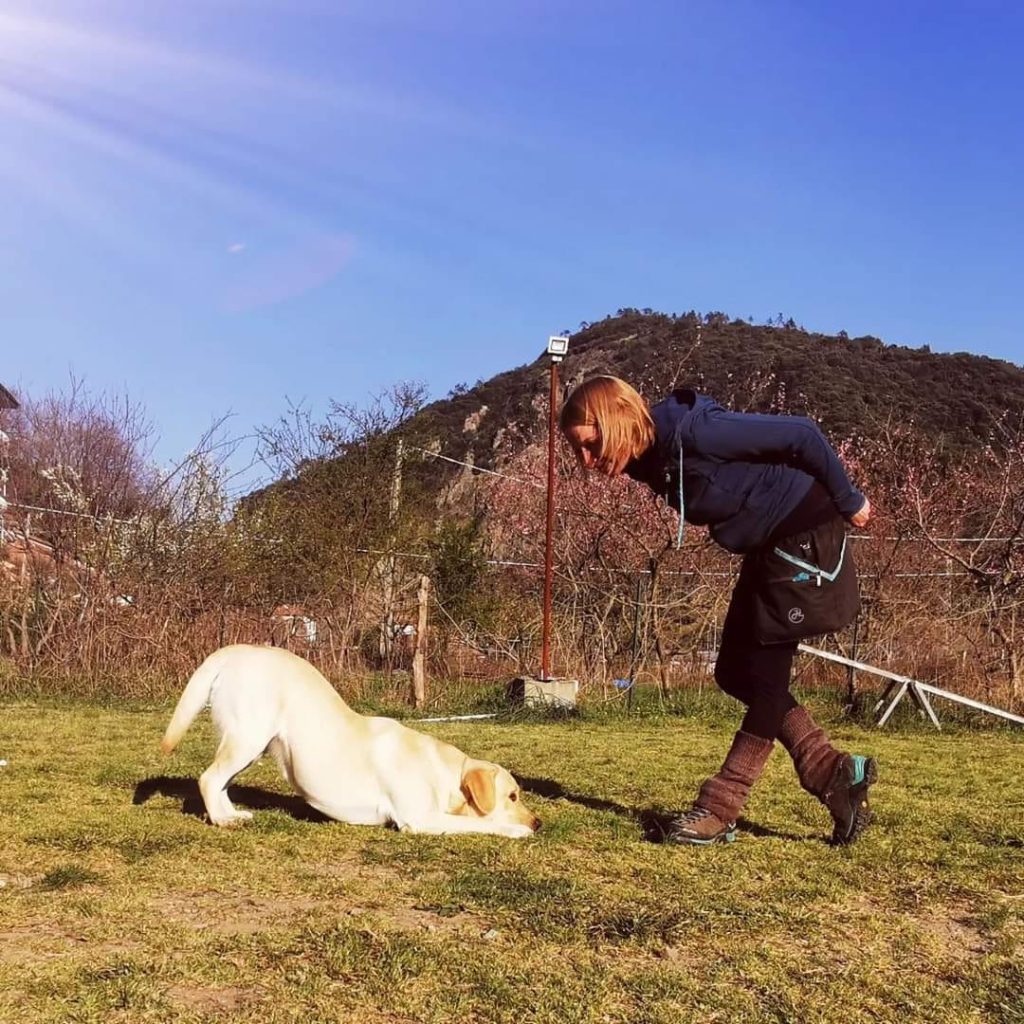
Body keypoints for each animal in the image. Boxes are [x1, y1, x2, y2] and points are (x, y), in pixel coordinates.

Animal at [159, 643, 540, 835]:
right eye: (512, 795)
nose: (539, 822)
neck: (442, 771)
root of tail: (236, 650)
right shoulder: (418, 820)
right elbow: (481, 824)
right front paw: (515, 829)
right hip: (248, 737)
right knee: (209, 778)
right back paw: (222, 820)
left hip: (251, 745)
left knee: (220, 782)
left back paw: (232, 814)